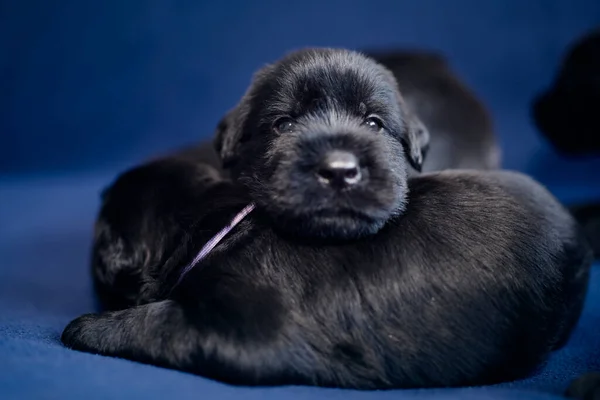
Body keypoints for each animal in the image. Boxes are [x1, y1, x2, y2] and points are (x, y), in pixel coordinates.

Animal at [62, 48, 592, 390]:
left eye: (375, 122)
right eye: (282, 123)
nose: (338, 168)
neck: (218, 225)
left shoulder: (248, 331)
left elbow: (159, 323)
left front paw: (87, 326)